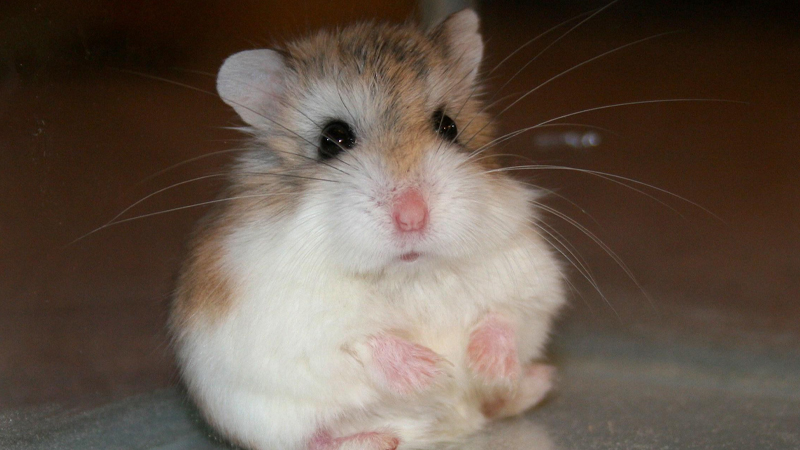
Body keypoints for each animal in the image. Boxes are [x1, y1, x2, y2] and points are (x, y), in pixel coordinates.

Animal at [169, 9, 566, 450]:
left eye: (448, 126)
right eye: (333, 139)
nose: (412, 217)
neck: (408, 273)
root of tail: (452, 427)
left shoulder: (531, 278)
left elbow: (505, 315)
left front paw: (486, 366)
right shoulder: (295, 322)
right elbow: (361, 338)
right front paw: (432, 370)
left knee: (494, 404)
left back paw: (535, 381)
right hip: (265, 421)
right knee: (314, 438)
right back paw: (380, 438)